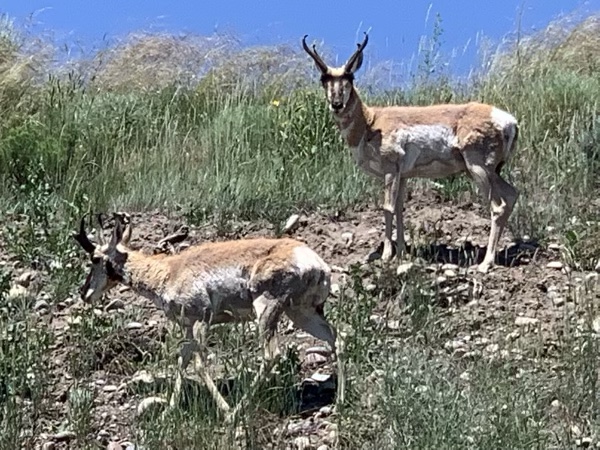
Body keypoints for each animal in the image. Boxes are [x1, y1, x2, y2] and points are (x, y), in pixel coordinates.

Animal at [72, 213, 337, 423]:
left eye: (94, 259)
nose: (84, 293)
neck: (169, 271)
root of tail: (315, 262)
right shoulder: (188, 328)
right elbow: (182, 361)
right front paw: (168, 412)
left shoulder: (202, 320)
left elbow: (199, 365)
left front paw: (225, 410)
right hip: (302, 313)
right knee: (336, 339)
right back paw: (341, 398)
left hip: (268, 311)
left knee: (272, 355)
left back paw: (237, 411)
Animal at [302, 32, 519, 273]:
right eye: (324, 79)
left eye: (350, 77)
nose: (337, 104)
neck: (371, 122)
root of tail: (508, 120)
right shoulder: (403, 176)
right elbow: (399, 210)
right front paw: (401, 253)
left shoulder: (390, 171)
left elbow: (387, 208)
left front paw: (386, 255)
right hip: (491, 172)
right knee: (512, 195)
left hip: (478, 169)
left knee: (498, 206)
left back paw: (485, 263)